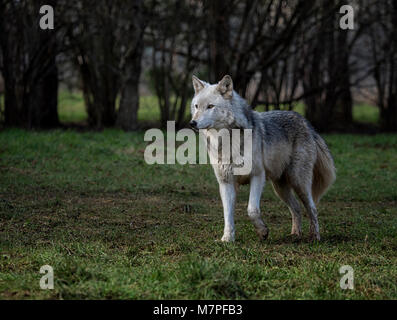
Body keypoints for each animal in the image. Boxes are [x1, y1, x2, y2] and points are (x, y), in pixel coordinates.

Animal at [189, 74, 334, 240]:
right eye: (196, 106)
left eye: (210, 106)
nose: (192, 123)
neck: (227, 142)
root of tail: (306, 123)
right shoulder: (226, 182)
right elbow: (228, 213)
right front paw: (228, 238)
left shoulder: (257, 176)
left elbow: (252, 209)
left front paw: (262, 231)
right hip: (280, 187)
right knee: (296, 208)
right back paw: (295, 234)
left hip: (298, 182)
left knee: (312, 208)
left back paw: (315, 236)